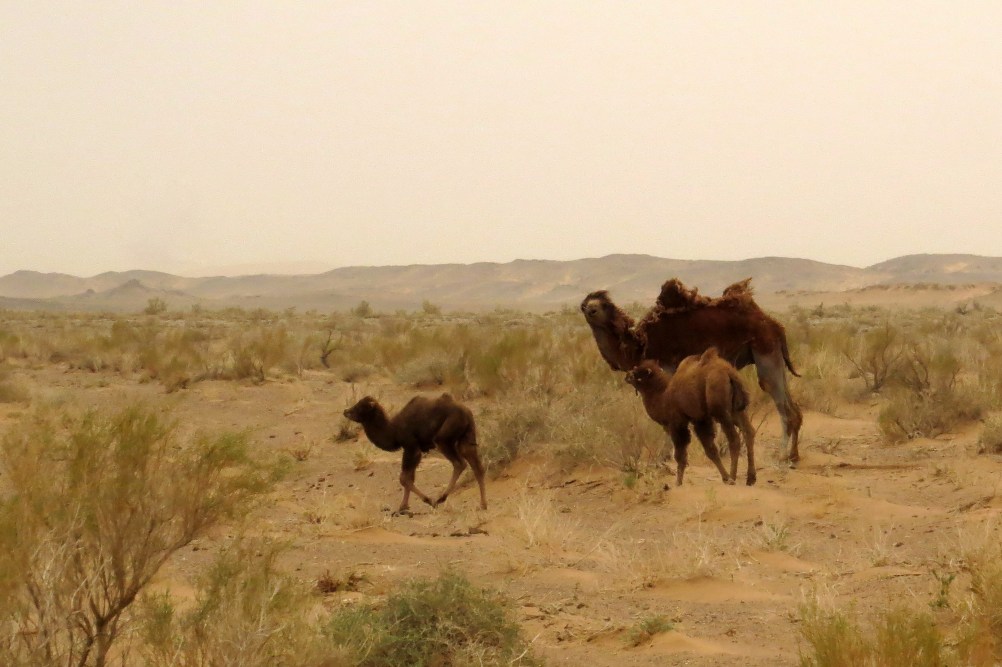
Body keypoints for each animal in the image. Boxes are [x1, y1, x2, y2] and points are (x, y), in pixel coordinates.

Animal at [342, 394, 487, 514]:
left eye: (361, 406)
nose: (346, 411)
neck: (393, 430)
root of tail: (467, 412)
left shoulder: (411, 447)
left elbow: (404, 478)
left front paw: (427, 500)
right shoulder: (413, 449)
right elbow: (409, 477)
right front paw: (403, 507)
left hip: (443, 438)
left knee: (459, 463)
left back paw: (440, 498)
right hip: (468, 435)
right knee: (476, 465)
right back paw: (483, 504)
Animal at [581, 277, 803, 463]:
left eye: (604, 305)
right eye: (585, 305)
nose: (591, 309)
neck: (640, 346)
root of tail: (775, 325)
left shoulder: (669, 368)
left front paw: (669, 456)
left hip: (764, 350)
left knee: (779, 401)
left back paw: (781, 455)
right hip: (774, 355)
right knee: (794, 407)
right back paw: (793, 455)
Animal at [626, 351, 756, 486]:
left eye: (638, 373)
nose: (627, 375)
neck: (663, 397)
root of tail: (729, 373)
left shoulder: (677, 423)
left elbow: (680, 455)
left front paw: (678, 482)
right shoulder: (700, 420)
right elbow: (711, 450)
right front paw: (724, 477)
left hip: (721, 412)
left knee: (734, 439)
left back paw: (733, 477)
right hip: (736, 410)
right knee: (749, 432)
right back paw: (750, 478)